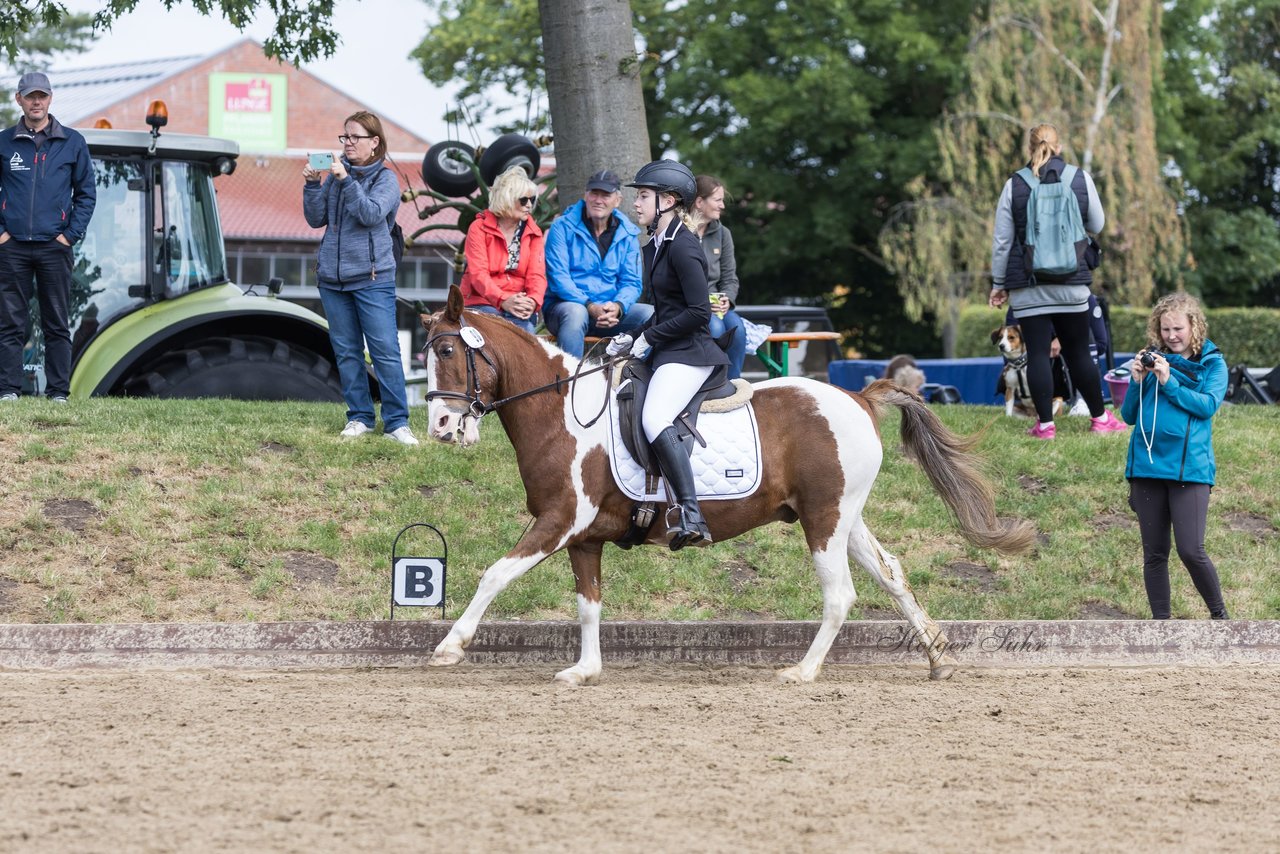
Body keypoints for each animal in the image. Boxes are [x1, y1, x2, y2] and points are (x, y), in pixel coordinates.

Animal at [424, 289, 1034, 686]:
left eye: (449, 352)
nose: (441, 427)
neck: (565, 414)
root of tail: (858, 398)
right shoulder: (584, 537)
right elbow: (589, 605)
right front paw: (585, 670)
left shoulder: (558, 521)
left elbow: (494, 573)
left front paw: (450, 647)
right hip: (845, 517)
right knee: (892, 575)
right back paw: (937, 656)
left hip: (823, 520)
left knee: (841, 594)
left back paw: (803, 671)